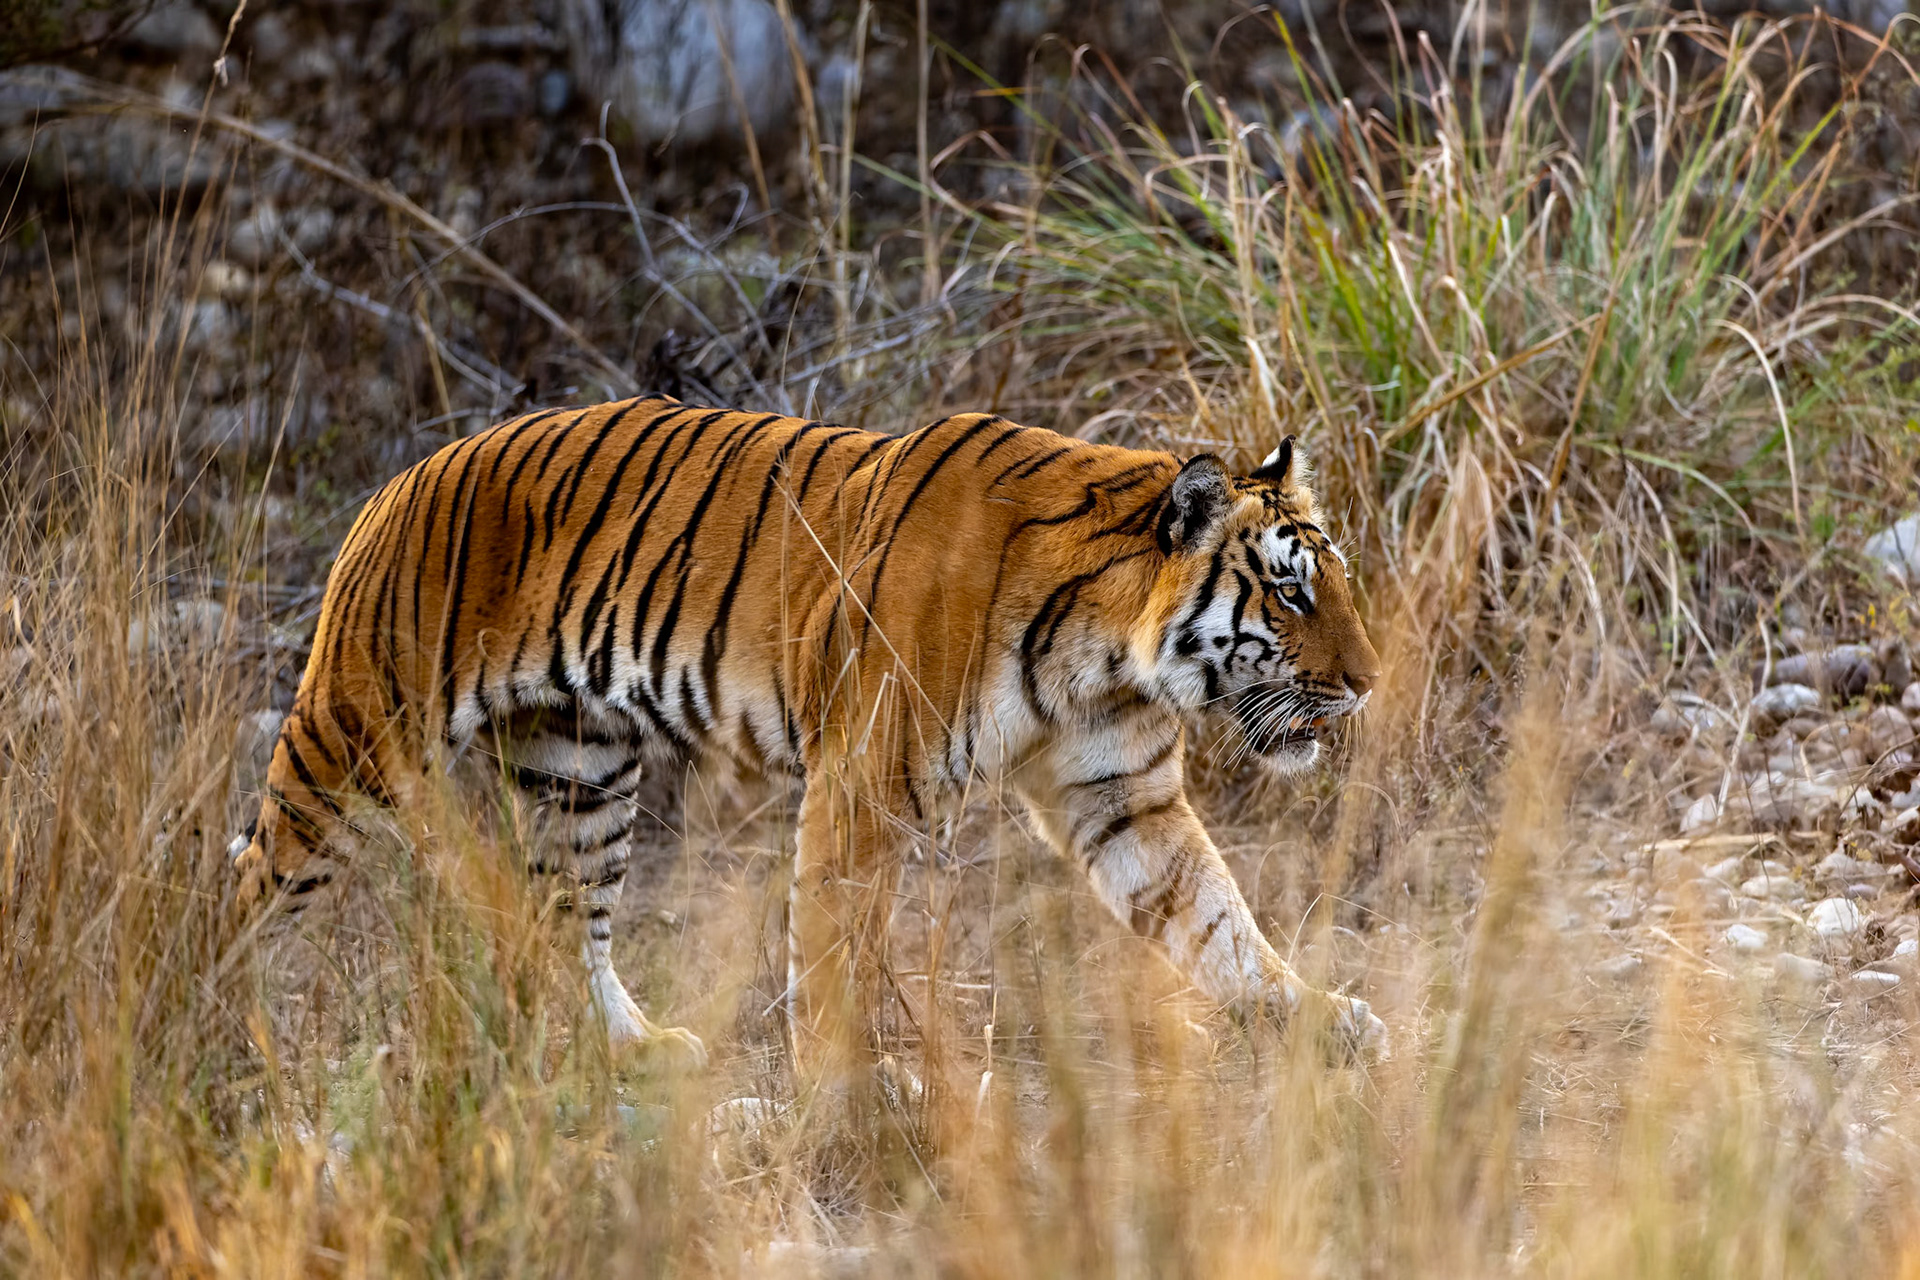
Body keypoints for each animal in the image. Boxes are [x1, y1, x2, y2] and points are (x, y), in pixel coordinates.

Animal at [230, 394, 1388, 1079]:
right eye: (1289, 592)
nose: (1368, 683)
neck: (1106, 654)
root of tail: (403, 477)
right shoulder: (864, 784)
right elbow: (834, 946)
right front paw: (851, 1087)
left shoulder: (1122, 797)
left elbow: (1219, 920)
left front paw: (1318, 1016)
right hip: (352, 735)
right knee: (251, 892)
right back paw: (210, 1035)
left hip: (582, 770)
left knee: (570, 924)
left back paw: (635, 1051)